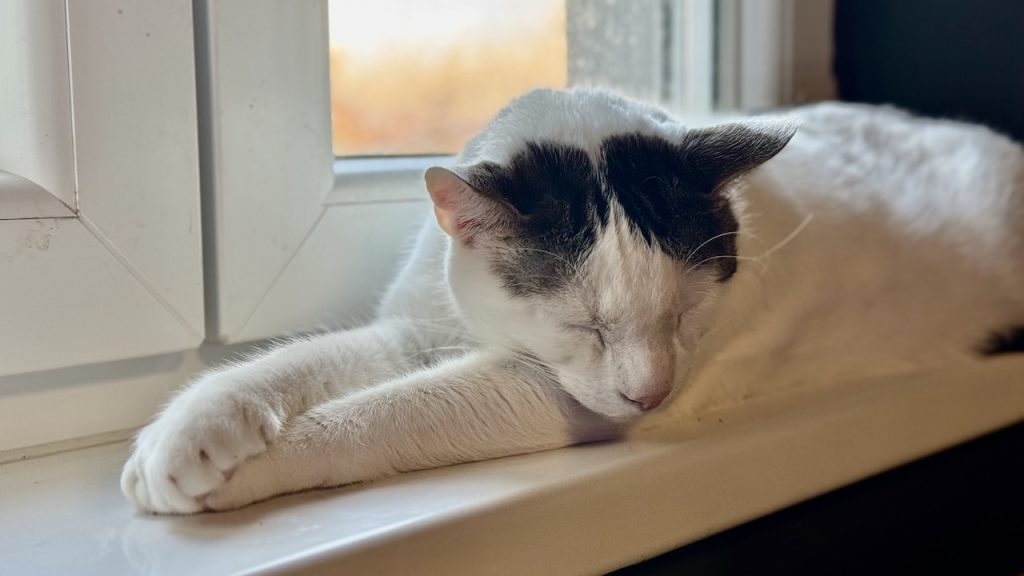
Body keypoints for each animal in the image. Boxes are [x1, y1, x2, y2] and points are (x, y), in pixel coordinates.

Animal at [122, 88, 1024, 514]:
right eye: (582, 326)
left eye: (686, 317)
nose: (650, 394)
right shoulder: (418, 331)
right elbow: (302, 365)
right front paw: (188, 437)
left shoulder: (543, 394)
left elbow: (381, 415)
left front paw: (243, 474)